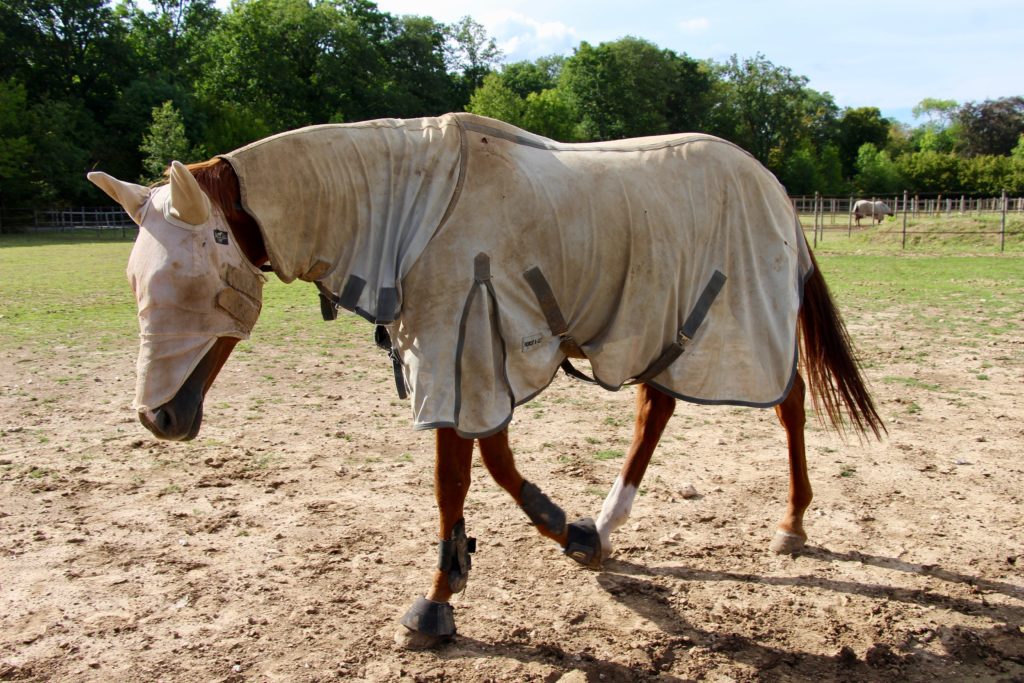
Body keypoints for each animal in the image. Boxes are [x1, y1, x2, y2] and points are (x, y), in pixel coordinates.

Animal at [92, 113, 884, 651]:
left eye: (194, 278)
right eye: (132, 278)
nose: (157, 419)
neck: (414, 208)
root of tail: (774, 188)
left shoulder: (460, 348)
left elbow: (457, 477)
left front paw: (437, 601)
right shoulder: (469, 356)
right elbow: (495, 462)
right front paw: (571, 531)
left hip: (741, 327)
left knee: (787, 404)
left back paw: (792, 524)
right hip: (663, 326)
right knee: (656, 407)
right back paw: (609, 520)